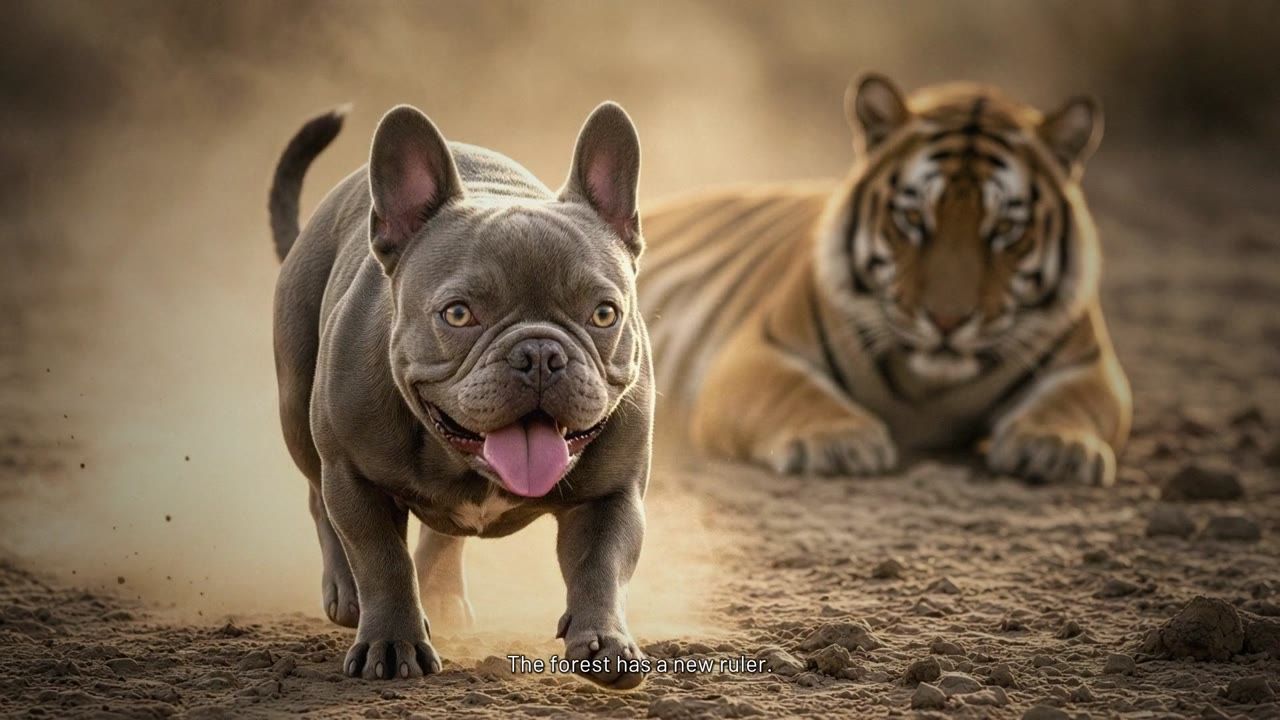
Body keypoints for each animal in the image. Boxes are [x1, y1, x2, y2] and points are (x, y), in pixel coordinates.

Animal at [638, 74, 1131, 486]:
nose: (947, 321)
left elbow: (1073, 402)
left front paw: (1056, 446)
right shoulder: (758, 351)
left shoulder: (1092, 366)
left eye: (1005, 229)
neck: (932, 391)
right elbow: (794, 392)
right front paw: (840, 440)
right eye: (912, 219)